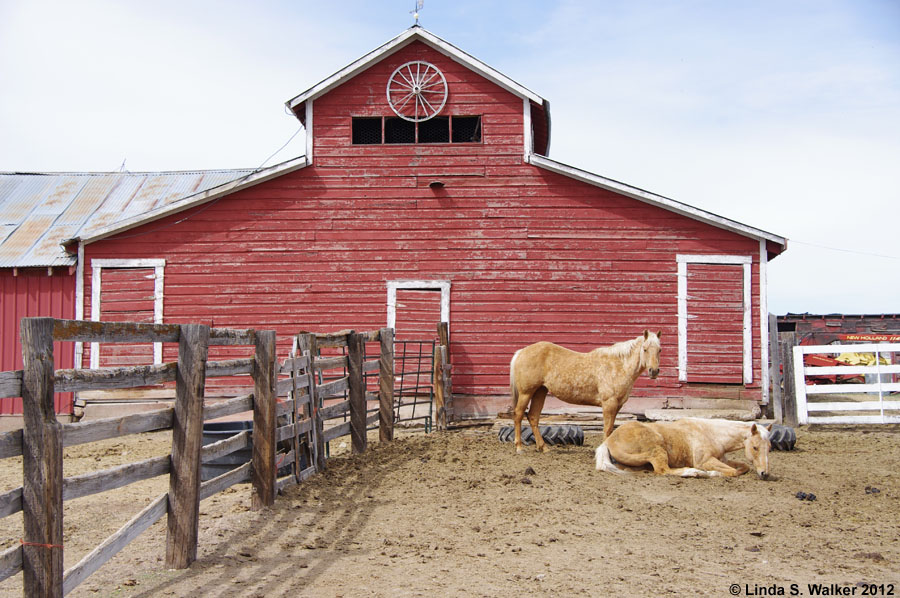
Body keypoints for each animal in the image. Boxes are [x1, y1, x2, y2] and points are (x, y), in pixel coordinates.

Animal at [510, 332, 664, 454]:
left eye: (659, 350)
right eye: (645, 349)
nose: (654, 371)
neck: (618, 366)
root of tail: (521, 352)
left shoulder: (617, 405)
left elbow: (611, 429)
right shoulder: (609, 404)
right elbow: (607, 429)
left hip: (540, 392)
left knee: (533, 417)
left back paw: (543, 448)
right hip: (526, 393)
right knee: (518, 415)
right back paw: (519, 447)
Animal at [596, 420, 772, 480]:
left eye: (769, 448)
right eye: (755, 447)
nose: (764, 473)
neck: (712, 434)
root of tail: (609, 440)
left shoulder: (723, 459)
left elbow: (743, 467)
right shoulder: (705, 461)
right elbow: (732, 472)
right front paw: (710, 473)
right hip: (657, 450)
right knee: (663, 470)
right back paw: (694, 473)